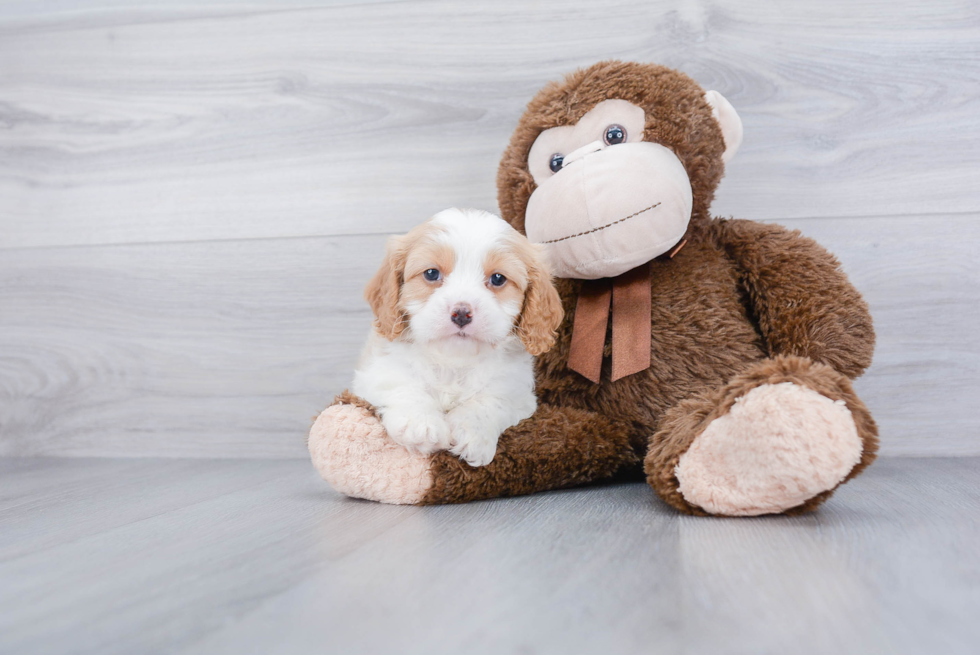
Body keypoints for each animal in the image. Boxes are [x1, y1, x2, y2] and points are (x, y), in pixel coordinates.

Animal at [354, 208, 564, 468]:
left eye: (498, 279)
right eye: (431, 273)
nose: (462, 313)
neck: (453, 361)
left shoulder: (516, 392)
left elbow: (490, 401)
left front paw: (473, 432)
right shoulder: (376, 372)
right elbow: (404, 384)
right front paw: (422, 424)